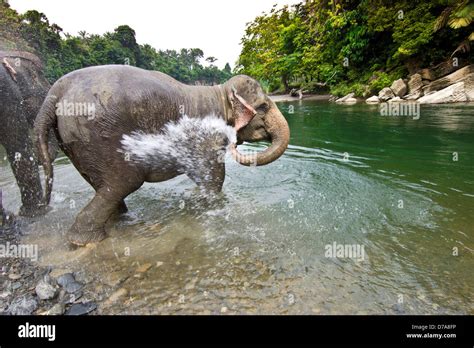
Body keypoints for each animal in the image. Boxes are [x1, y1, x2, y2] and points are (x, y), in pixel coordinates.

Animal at [34, 64, 288, 245]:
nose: (235, 144)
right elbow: (214, 177)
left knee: (104, 187)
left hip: (76, 144)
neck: (220, 93)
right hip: (100, 137)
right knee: (123, 182)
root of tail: (55, 92)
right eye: (264, 107)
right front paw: (212, 207)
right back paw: (85, 241)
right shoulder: (206, 137)